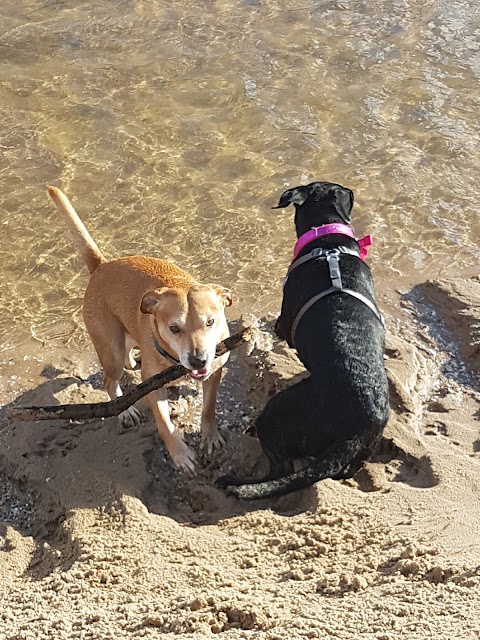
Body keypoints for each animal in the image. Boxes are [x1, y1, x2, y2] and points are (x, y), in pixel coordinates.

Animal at [47, 185, 232, 470]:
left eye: (210, 322)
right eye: (174, 328)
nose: (198, 360)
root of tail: (101, 265)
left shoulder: (214, 373)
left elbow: (209, 408)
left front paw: (210, 437)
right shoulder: (154, 390)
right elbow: (165, 425)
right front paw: (180, 455)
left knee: (127, 357)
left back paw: (135, 362)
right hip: (109, 349)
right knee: (109, 380)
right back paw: (127, 410)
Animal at [218, 180, 390, 500]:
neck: (329, 246)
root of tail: (357, 429)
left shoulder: (285, 321)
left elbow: (279, 327)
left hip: (278, 414)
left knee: (280, 469)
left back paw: (237, 482)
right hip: (359, 452)